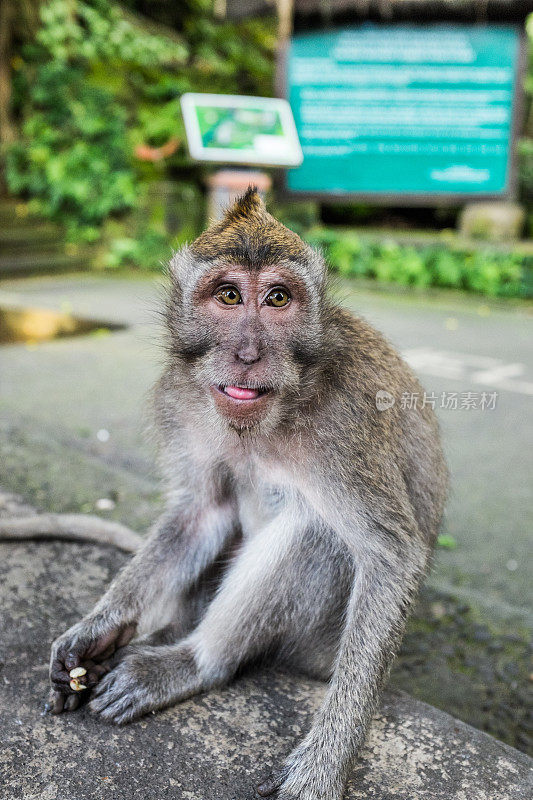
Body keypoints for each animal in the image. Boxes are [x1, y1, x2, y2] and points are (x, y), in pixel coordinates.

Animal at [45, 191, 446, 800]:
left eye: (278, 298)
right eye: (229, 295)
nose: (249, 353)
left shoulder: (348, 420)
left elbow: (392, 556)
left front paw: (324, 766)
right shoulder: (181, 398)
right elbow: (202, 513)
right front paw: (96, 632)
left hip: (321, 648)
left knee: (315, 534)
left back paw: (190, 663)